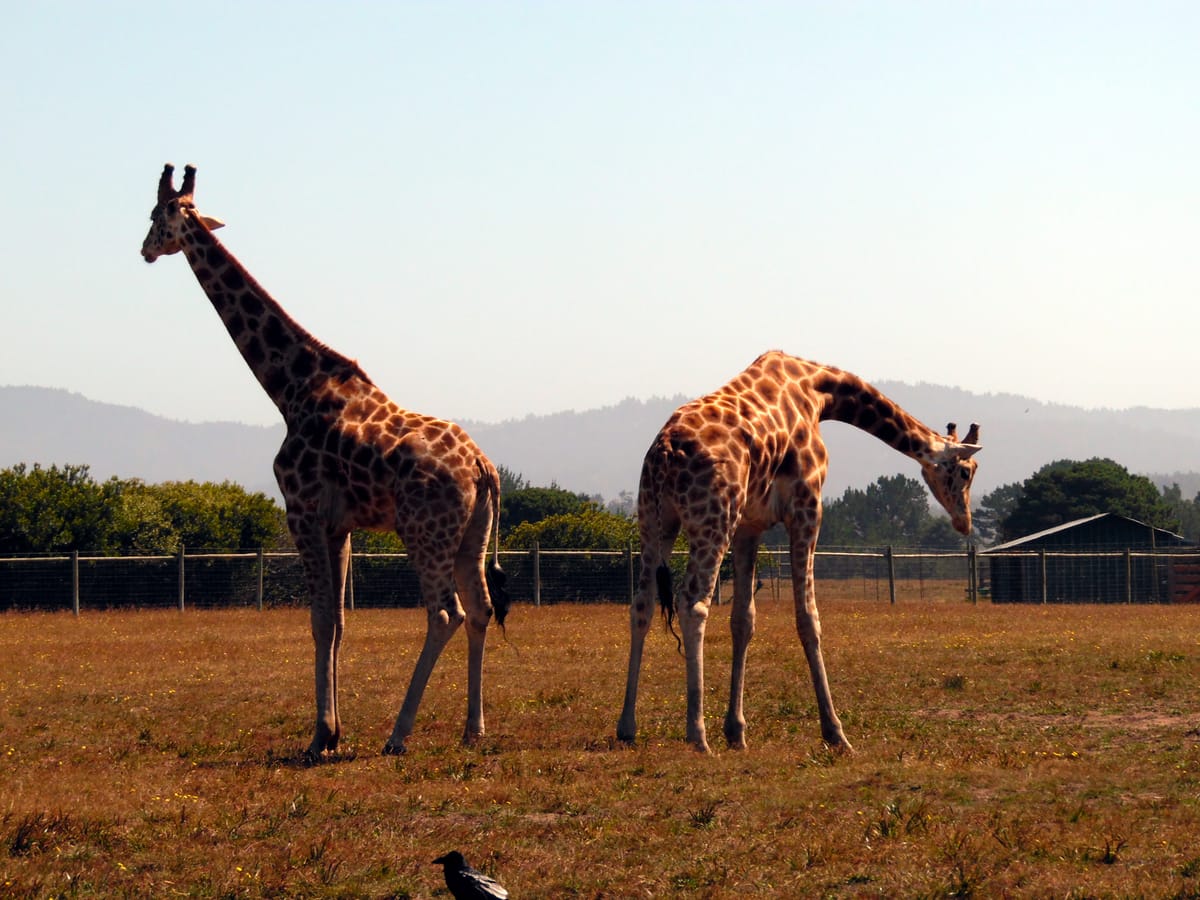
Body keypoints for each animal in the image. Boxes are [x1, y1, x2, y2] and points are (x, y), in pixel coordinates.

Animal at [139, 164, 506, 763]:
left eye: (156, 215)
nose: (144, 249)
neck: (289, 389)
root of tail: (483, 467)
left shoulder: (302, 511)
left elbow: (316, 621)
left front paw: (320, 736)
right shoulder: (340, 526)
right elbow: (336, 623)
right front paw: (334, 732)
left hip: (424, 530)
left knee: (444, 613)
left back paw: (398, 733)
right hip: (471, 534)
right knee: (479, 609)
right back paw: (472, 729)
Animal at [619, 350, 984, 753]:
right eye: (966, 472)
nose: (964, 522)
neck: (819, 389)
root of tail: (665, 453)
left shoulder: (750, 525)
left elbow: (743, 620)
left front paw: (736, 731)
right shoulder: (807, 506)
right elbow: (809, 618)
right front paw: (835, 733)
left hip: (654, 521)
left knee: (642, 604)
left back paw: (627, 726)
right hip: (712, 518)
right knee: (693, 603)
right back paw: (697, 735)